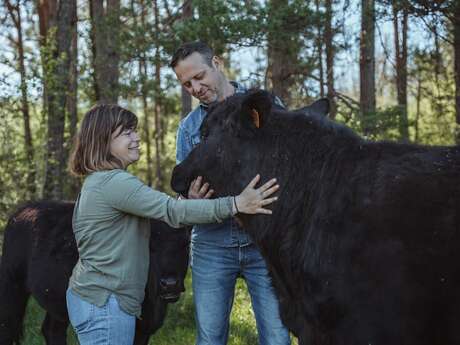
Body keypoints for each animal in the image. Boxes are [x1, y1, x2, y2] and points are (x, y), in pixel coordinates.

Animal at [0, 199, 190, 344]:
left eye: (186, 245)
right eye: (151, 247)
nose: (169, 284)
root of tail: (21, 212)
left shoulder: (144, 330)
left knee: (51, 329)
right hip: (12, 286)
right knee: (7, 326)